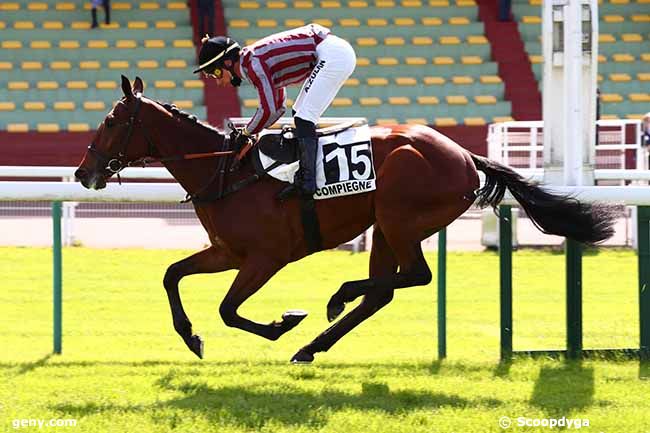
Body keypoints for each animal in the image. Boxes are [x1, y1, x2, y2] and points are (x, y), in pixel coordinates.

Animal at [73, 76, 616, 362]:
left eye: (111, 121)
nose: (83, 172)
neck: (226, 170)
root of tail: (465, 155)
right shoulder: (228, 252)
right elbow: (172, 275)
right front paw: (191, 336)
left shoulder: (267, 257)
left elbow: (228, 309)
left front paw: (283, 323)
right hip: (385, 226)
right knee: (385, 290)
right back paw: (315, 343)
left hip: (398, 217)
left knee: (412, 276)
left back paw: (334, 301)